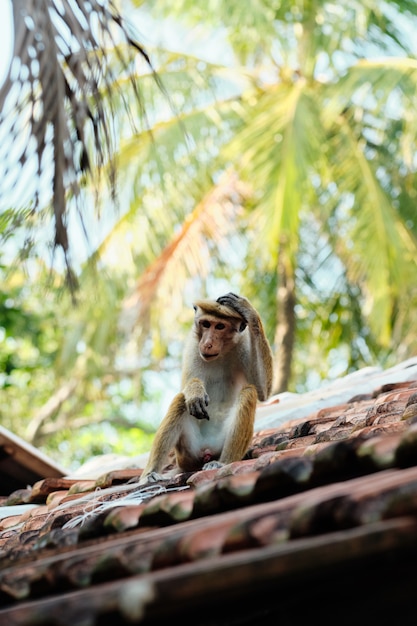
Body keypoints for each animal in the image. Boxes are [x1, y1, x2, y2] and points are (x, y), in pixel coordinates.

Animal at [139, 290, 272, 480]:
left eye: (220, 326)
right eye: (206, 324)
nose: (208, 343)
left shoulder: (243, 341)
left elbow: (262, 391)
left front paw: (248, 310)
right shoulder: (194, 344)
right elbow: (186, 387)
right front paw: (195, 391)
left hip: (218, 445)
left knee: (249, 392)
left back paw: (224, 462)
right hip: (187, 452)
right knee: (181, 400)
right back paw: (150, 474)